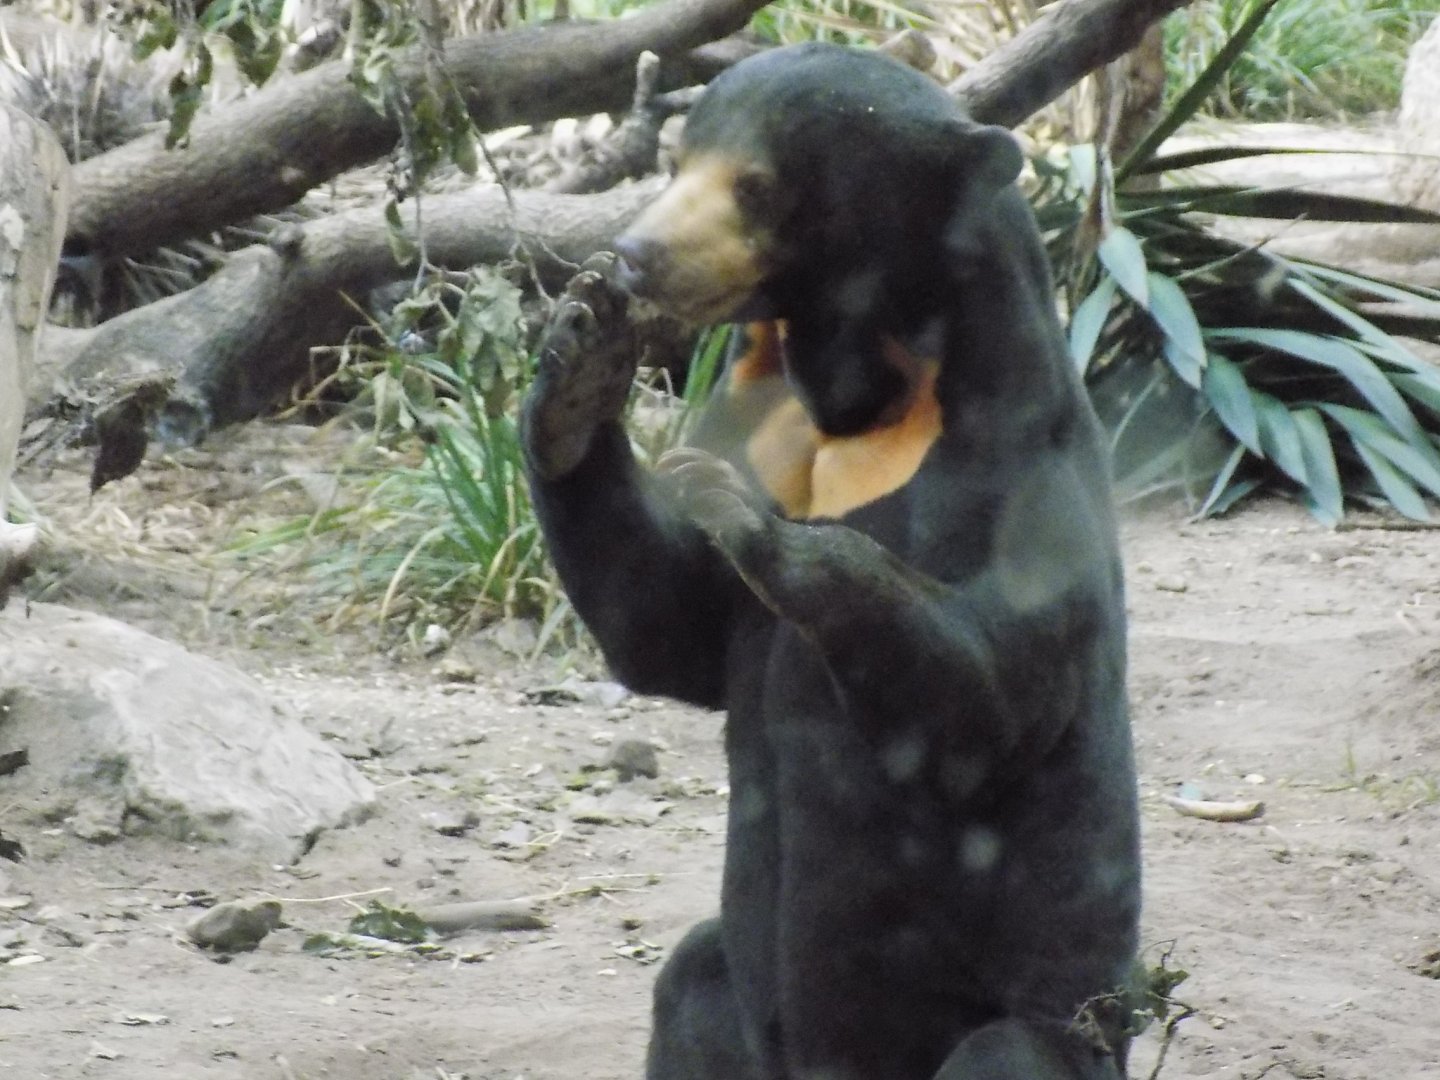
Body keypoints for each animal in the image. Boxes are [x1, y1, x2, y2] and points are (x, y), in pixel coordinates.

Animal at [521, 41, 1141, 1080]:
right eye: (677, 157)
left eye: (758, 186)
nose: (634, 256)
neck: (854, 397)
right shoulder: (755, 420)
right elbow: (668, 629)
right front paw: (578, 364)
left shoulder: (1019, 474)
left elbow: (991, 700)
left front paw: (744, 518)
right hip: (731, 1002)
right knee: (688, 988)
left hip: (1058, 1025)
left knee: (1004, 1053)